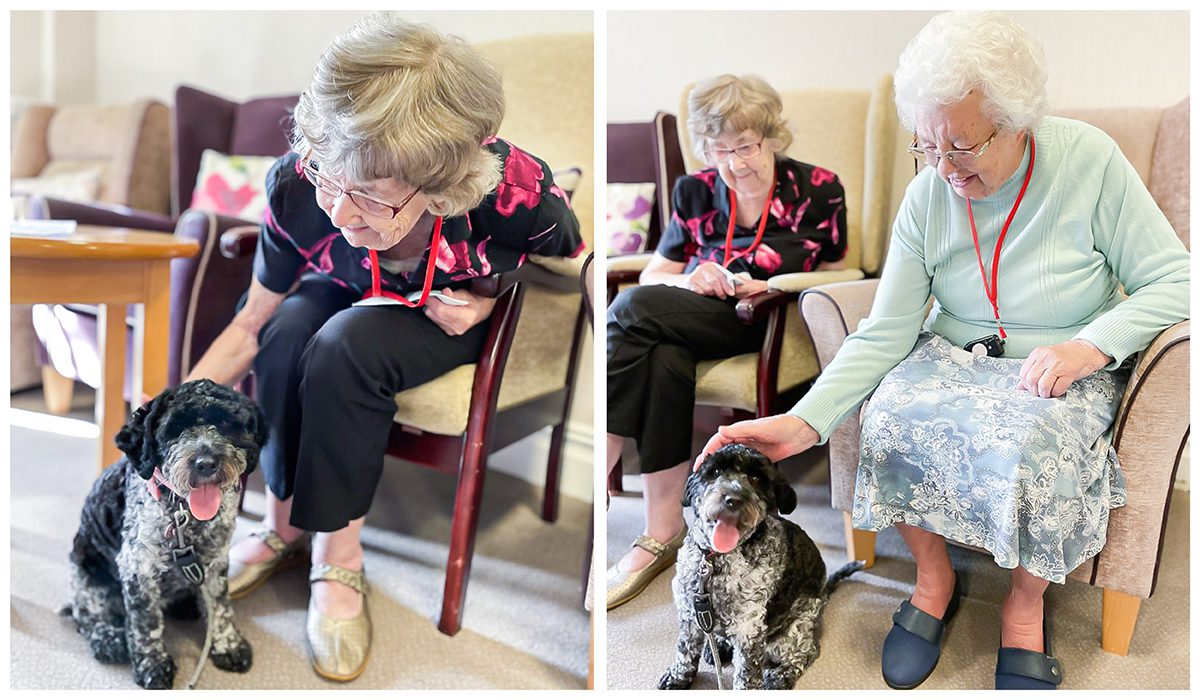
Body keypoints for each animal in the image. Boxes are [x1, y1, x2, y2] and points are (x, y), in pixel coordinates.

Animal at [64, 381, 268, 686]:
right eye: (174, 428)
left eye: (225, 424)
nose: (206, 462)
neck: (184, 513)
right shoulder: (138, 570)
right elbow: (146, 623)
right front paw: (153, 666)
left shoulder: (216, 563)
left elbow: (221, 608)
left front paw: (228, 645)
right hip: (85, 574)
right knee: (87, 616)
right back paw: (108, 638)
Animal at [657, 444, 864, 691]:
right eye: (715, 472)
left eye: (756, 478)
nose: (733, 499)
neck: (717, 561)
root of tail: (823, 591)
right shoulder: (690, 613)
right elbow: (685, 650)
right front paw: (678, 677)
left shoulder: (749, 628)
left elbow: (746, 675)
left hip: (792, 632)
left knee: (808, 651)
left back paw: (781, 676)